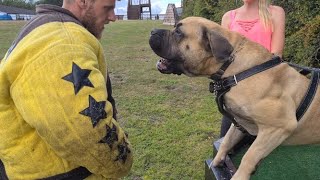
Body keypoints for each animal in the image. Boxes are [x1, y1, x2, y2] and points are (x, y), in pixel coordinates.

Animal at [149, 16, 320, 179]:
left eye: (178, 32)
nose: (152, 31)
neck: (231, 66)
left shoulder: (280, 126)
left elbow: (250, 156)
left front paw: (239, 176)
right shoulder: (239, 122)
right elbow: (226, 141)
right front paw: (216, 163)